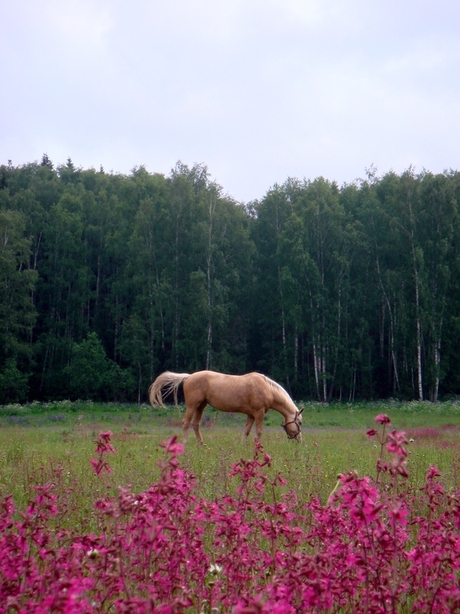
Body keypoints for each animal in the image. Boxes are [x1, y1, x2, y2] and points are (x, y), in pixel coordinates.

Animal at [148, 368, 302, 446]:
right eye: (299, 423)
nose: (299, 440)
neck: (266, 388)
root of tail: (189, 376)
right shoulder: (259, 413)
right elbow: (259, 432)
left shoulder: (251, 415)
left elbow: (246, 431)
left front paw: (243, 445)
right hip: (192, 406)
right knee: (186, 423)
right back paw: (186, 443)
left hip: (200, 407)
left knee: (196, 424)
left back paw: (202, 444)